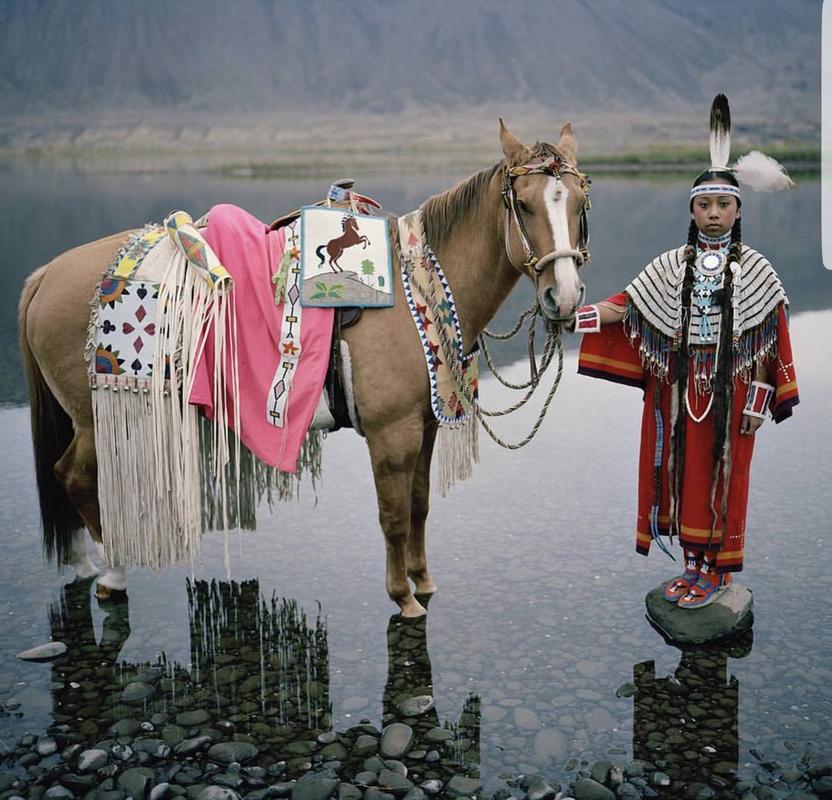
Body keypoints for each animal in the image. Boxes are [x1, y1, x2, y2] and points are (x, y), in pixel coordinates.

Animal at [21, 120, 592, 620]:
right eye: (523, 204)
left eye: (580, 204)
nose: (563, 298)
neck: (417, 292)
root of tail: (47, 272)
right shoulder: (390, 435)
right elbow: (393, 517)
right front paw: (402, 598)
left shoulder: (423, 426)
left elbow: (420, 506)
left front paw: (423, 579)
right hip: (95, 415)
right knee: (74, 476)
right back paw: (111, 573)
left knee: (63, 475)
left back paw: (84, 565)